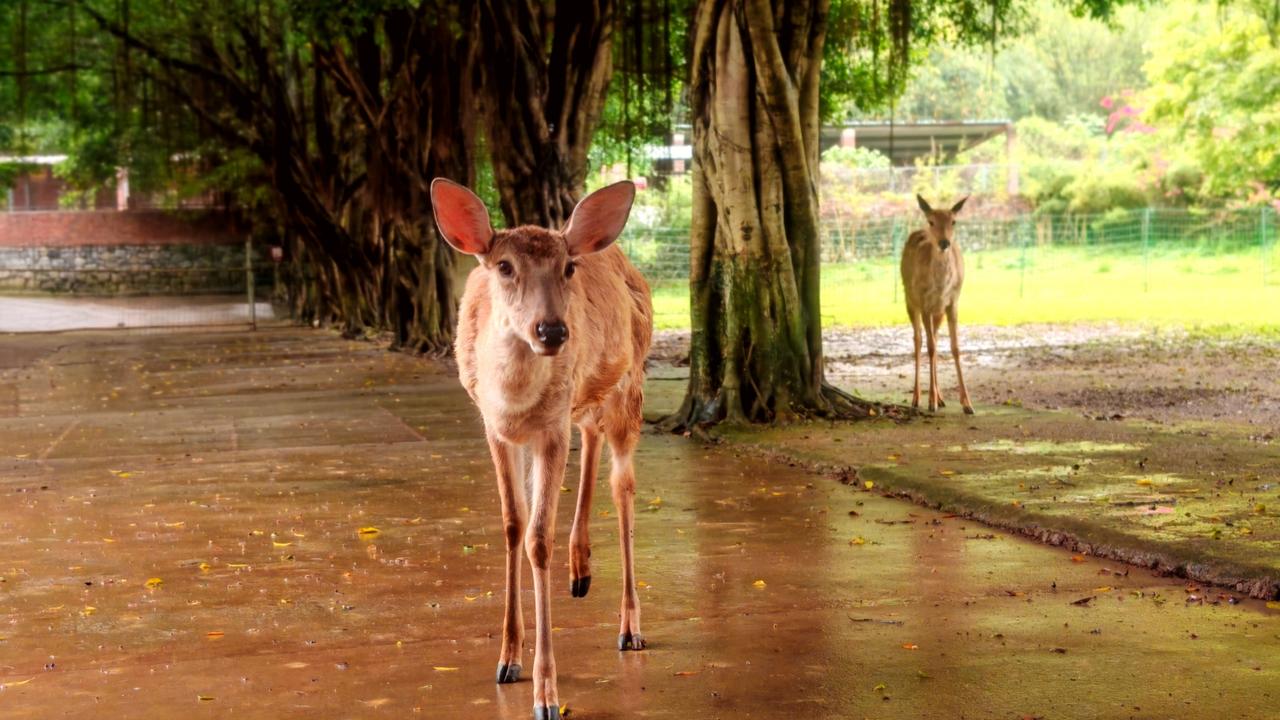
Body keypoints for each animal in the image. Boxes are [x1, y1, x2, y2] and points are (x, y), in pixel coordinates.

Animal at [430, 178, 653, 720]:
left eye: (568, 267)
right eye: (504, 266)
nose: (552, 331)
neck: (515, 403)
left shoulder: (550, 427)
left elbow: (538, 538)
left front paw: (546, 693)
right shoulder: (495, 427)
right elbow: (513, 525)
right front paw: (508, 659)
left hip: (630, 383)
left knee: (623, 484)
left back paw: (630, 627)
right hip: (584, 401)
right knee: (591, 434)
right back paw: (580, 572)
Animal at [900, 194, 975, 415]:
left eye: (954, 221)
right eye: (931, 221)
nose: (944, 243)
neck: (941, 285)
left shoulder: (953, 302)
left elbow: (955, 347)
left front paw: (967, 403)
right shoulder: (924, 302)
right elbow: (930, 347)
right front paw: (930, 402)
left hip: (938, 312)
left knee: (934, 338)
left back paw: (940, 398)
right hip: (910, 298)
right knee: (918, 340)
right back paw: (918, 398)